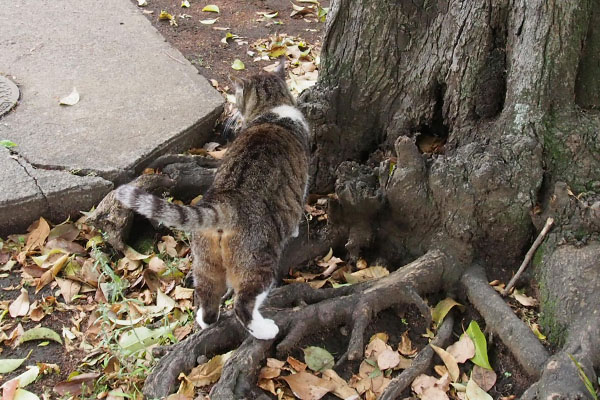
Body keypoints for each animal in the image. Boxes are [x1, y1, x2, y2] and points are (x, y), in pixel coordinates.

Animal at [115, 63, 310, 340]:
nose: (233, 108)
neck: (271, 110)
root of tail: (225, 201)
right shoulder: (302, 183)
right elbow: (296, 210)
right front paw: (294, 230)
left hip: (205, 261)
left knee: (207, 296)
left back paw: (205, 320)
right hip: (259, 261)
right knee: (243, 304)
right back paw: (265, 330)